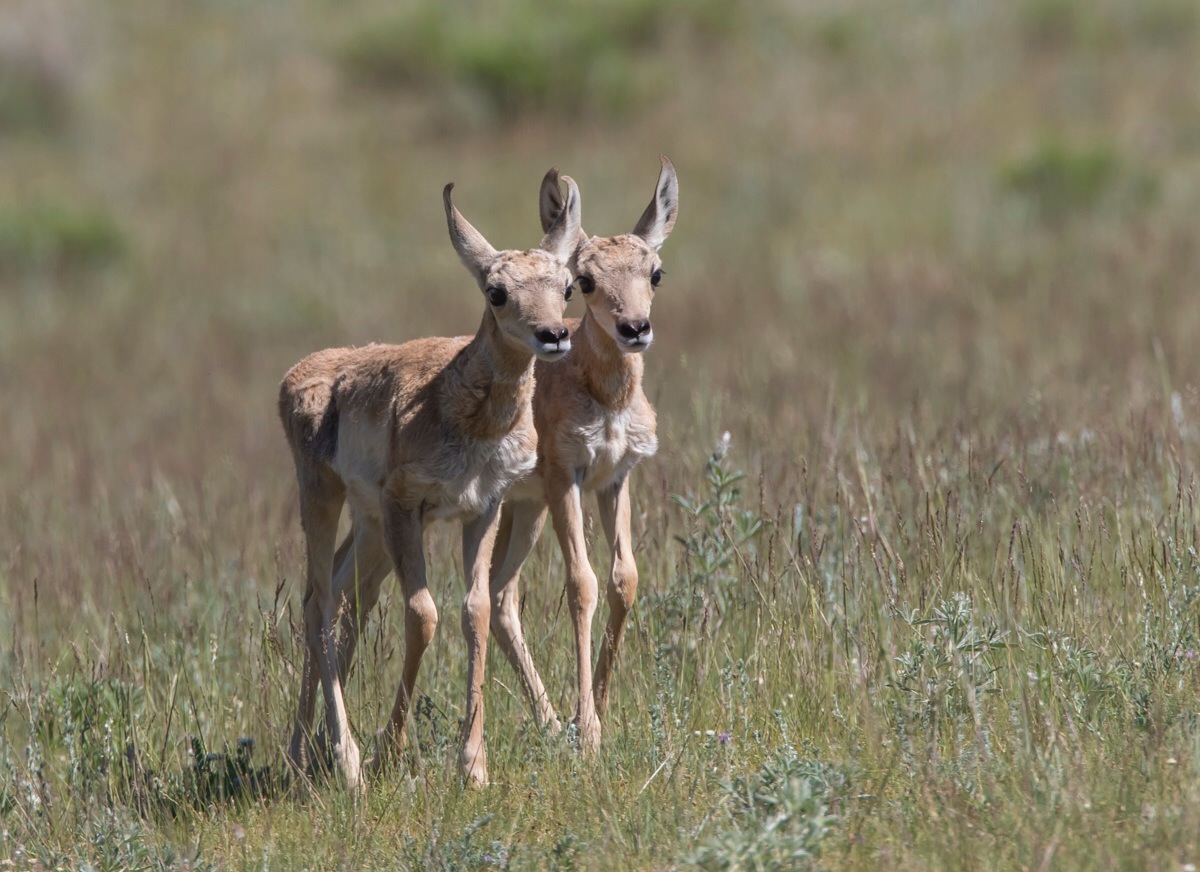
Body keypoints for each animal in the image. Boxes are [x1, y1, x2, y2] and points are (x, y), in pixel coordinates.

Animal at [278, 176, 582, 789]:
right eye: (496, 291)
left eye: (565, 286)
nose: (554, 334)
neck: (451, 399)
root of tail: (298, 373)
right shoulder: (405, 509)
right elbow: (422, 615)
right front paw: (389, 750)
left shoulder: (482, 509)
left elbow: (475, 612)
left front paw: (473, 765)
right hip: (323, 499)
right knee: (318, 602)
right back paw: (345, 760)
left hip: (368, 527)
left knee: (338, 595)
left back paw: (308, 751)